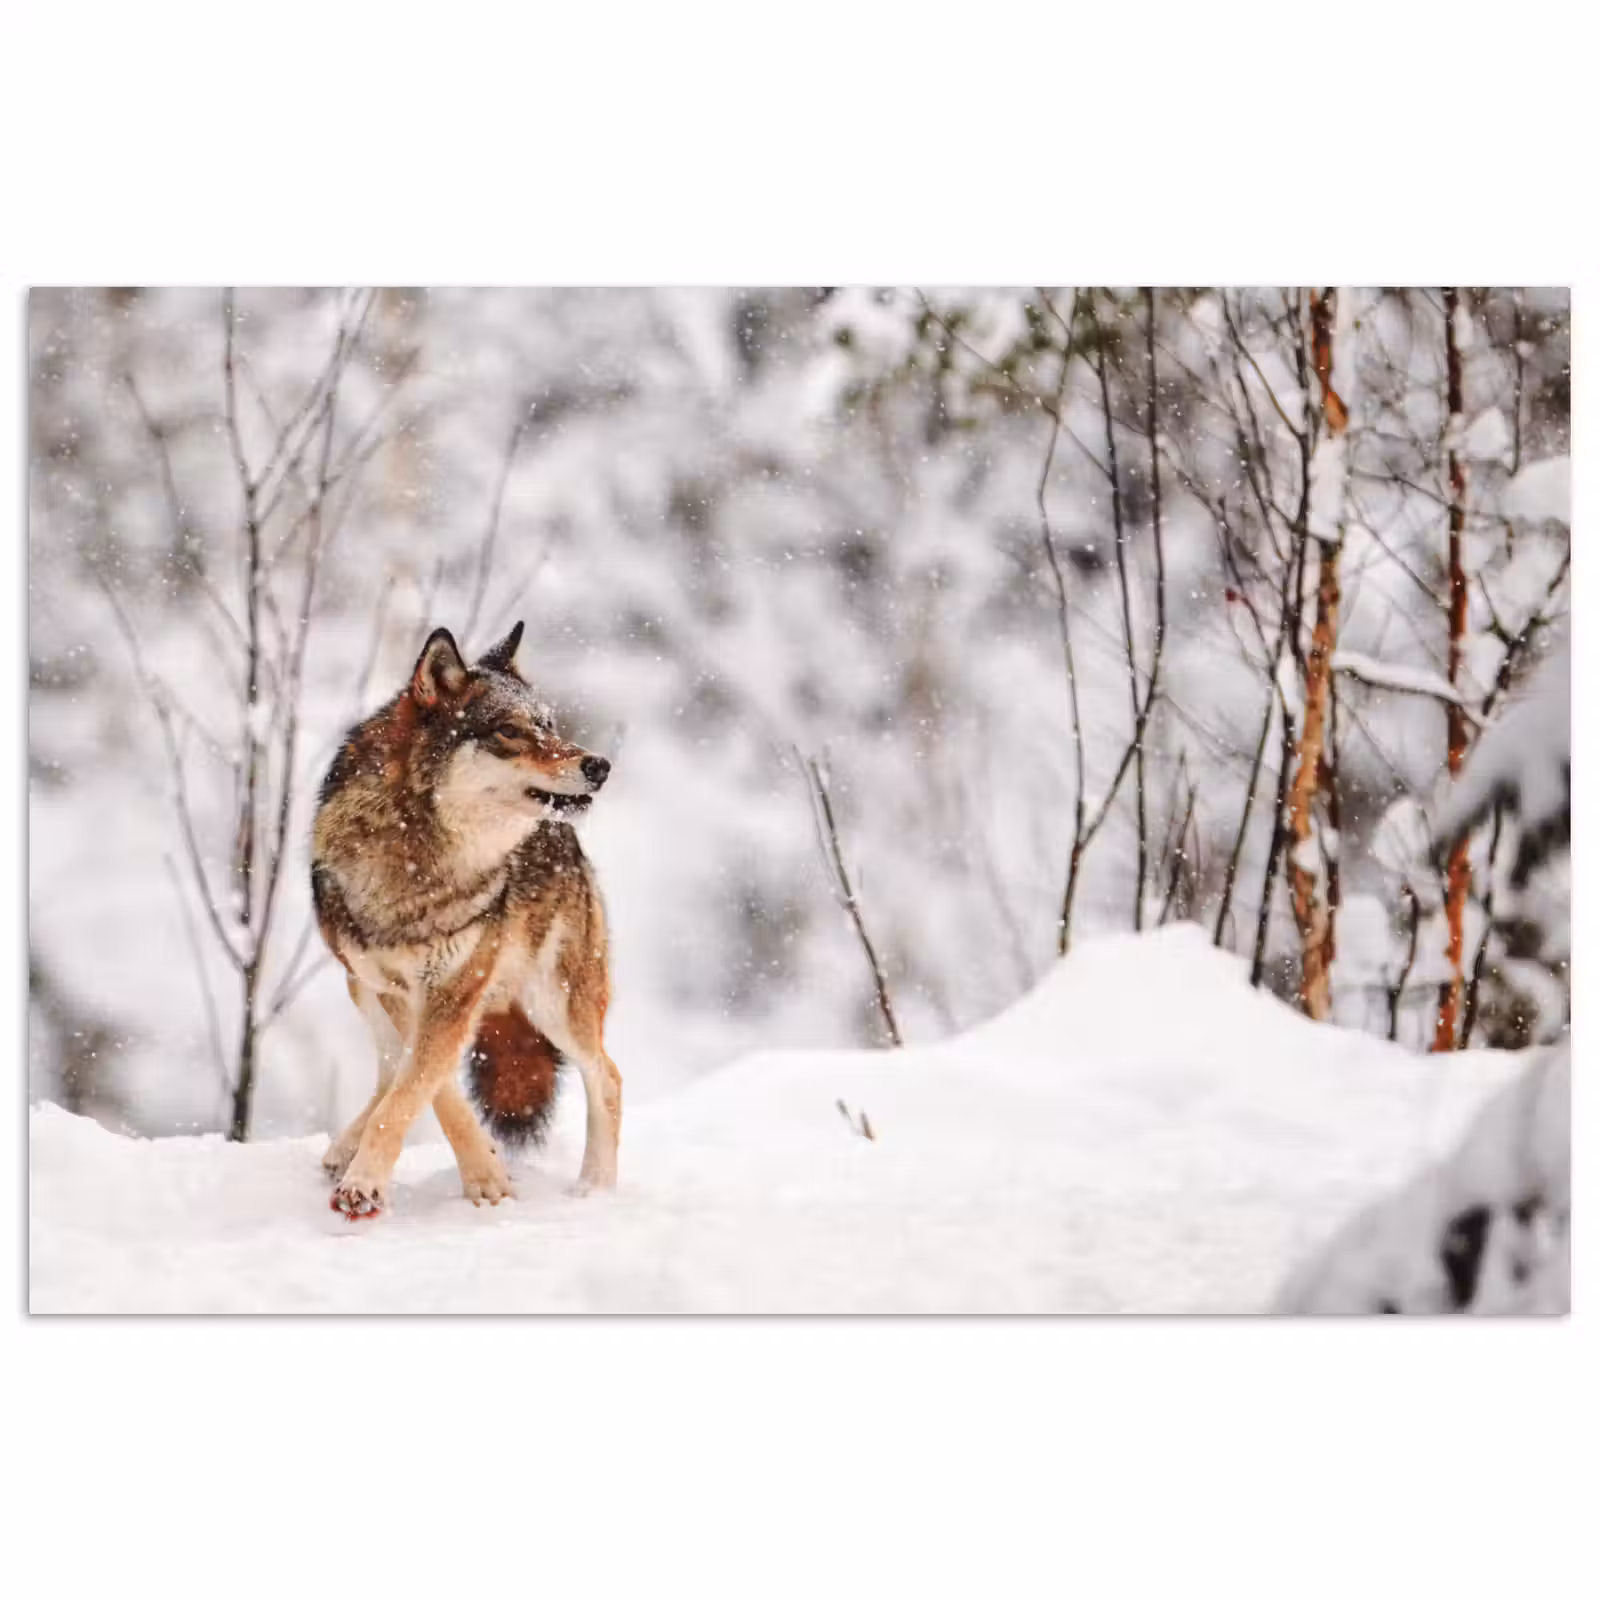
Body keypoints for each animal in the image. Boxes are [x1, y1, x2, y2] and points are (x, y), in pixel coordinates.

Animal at [310, 621, 620, 1219]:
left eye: (549, 725)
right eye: (510, 732)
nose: (598, 765)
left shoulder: (454, 989)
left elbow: (415, 1089)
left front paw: (369, 1185)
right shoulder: (398, 989)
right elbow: (427, 1088)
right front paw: (485, 1172)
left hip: (554, 1002)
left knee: (608, 1076)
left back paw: (595, 1190)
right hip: (359, 986)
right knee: (388, 1068)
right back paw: (343, 1148)